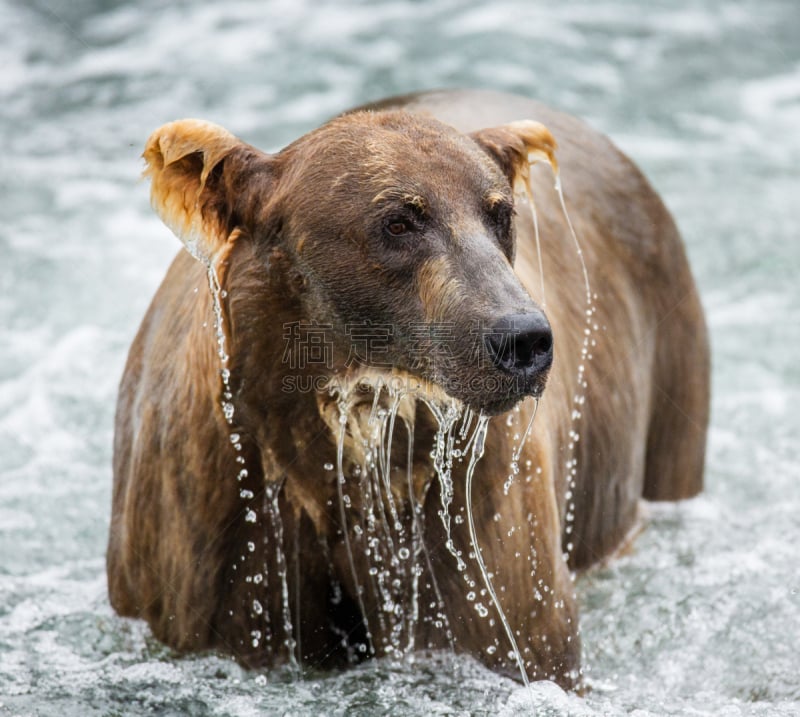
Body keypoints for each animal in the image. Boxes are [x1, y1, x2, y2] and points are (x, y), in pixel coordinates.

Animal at [104, 89, 708, 688]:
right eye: (399, 221)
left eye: (500, 213)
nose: (523, 339)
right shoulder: (218, 529)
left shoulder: (466, 519)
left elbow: (518, 633)